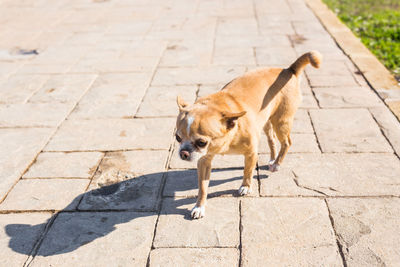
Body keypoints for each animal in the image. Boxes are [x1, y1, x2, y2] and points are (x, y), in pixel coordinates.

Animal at [175, 50, 322, 220]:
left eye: (201, 142)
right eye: (177, 138)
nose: (183, 152)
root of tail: (288, 70)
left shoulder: (251, 153)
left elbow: (248, 171)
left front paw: (245, 186)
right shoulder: (204, 161)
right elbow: (203, 187)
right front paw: (199, 207)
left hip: (281, 122)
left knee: (287, 143)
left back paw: (277, 164)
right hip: (266, 122)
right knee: (272, 139)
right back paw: (272, 159)